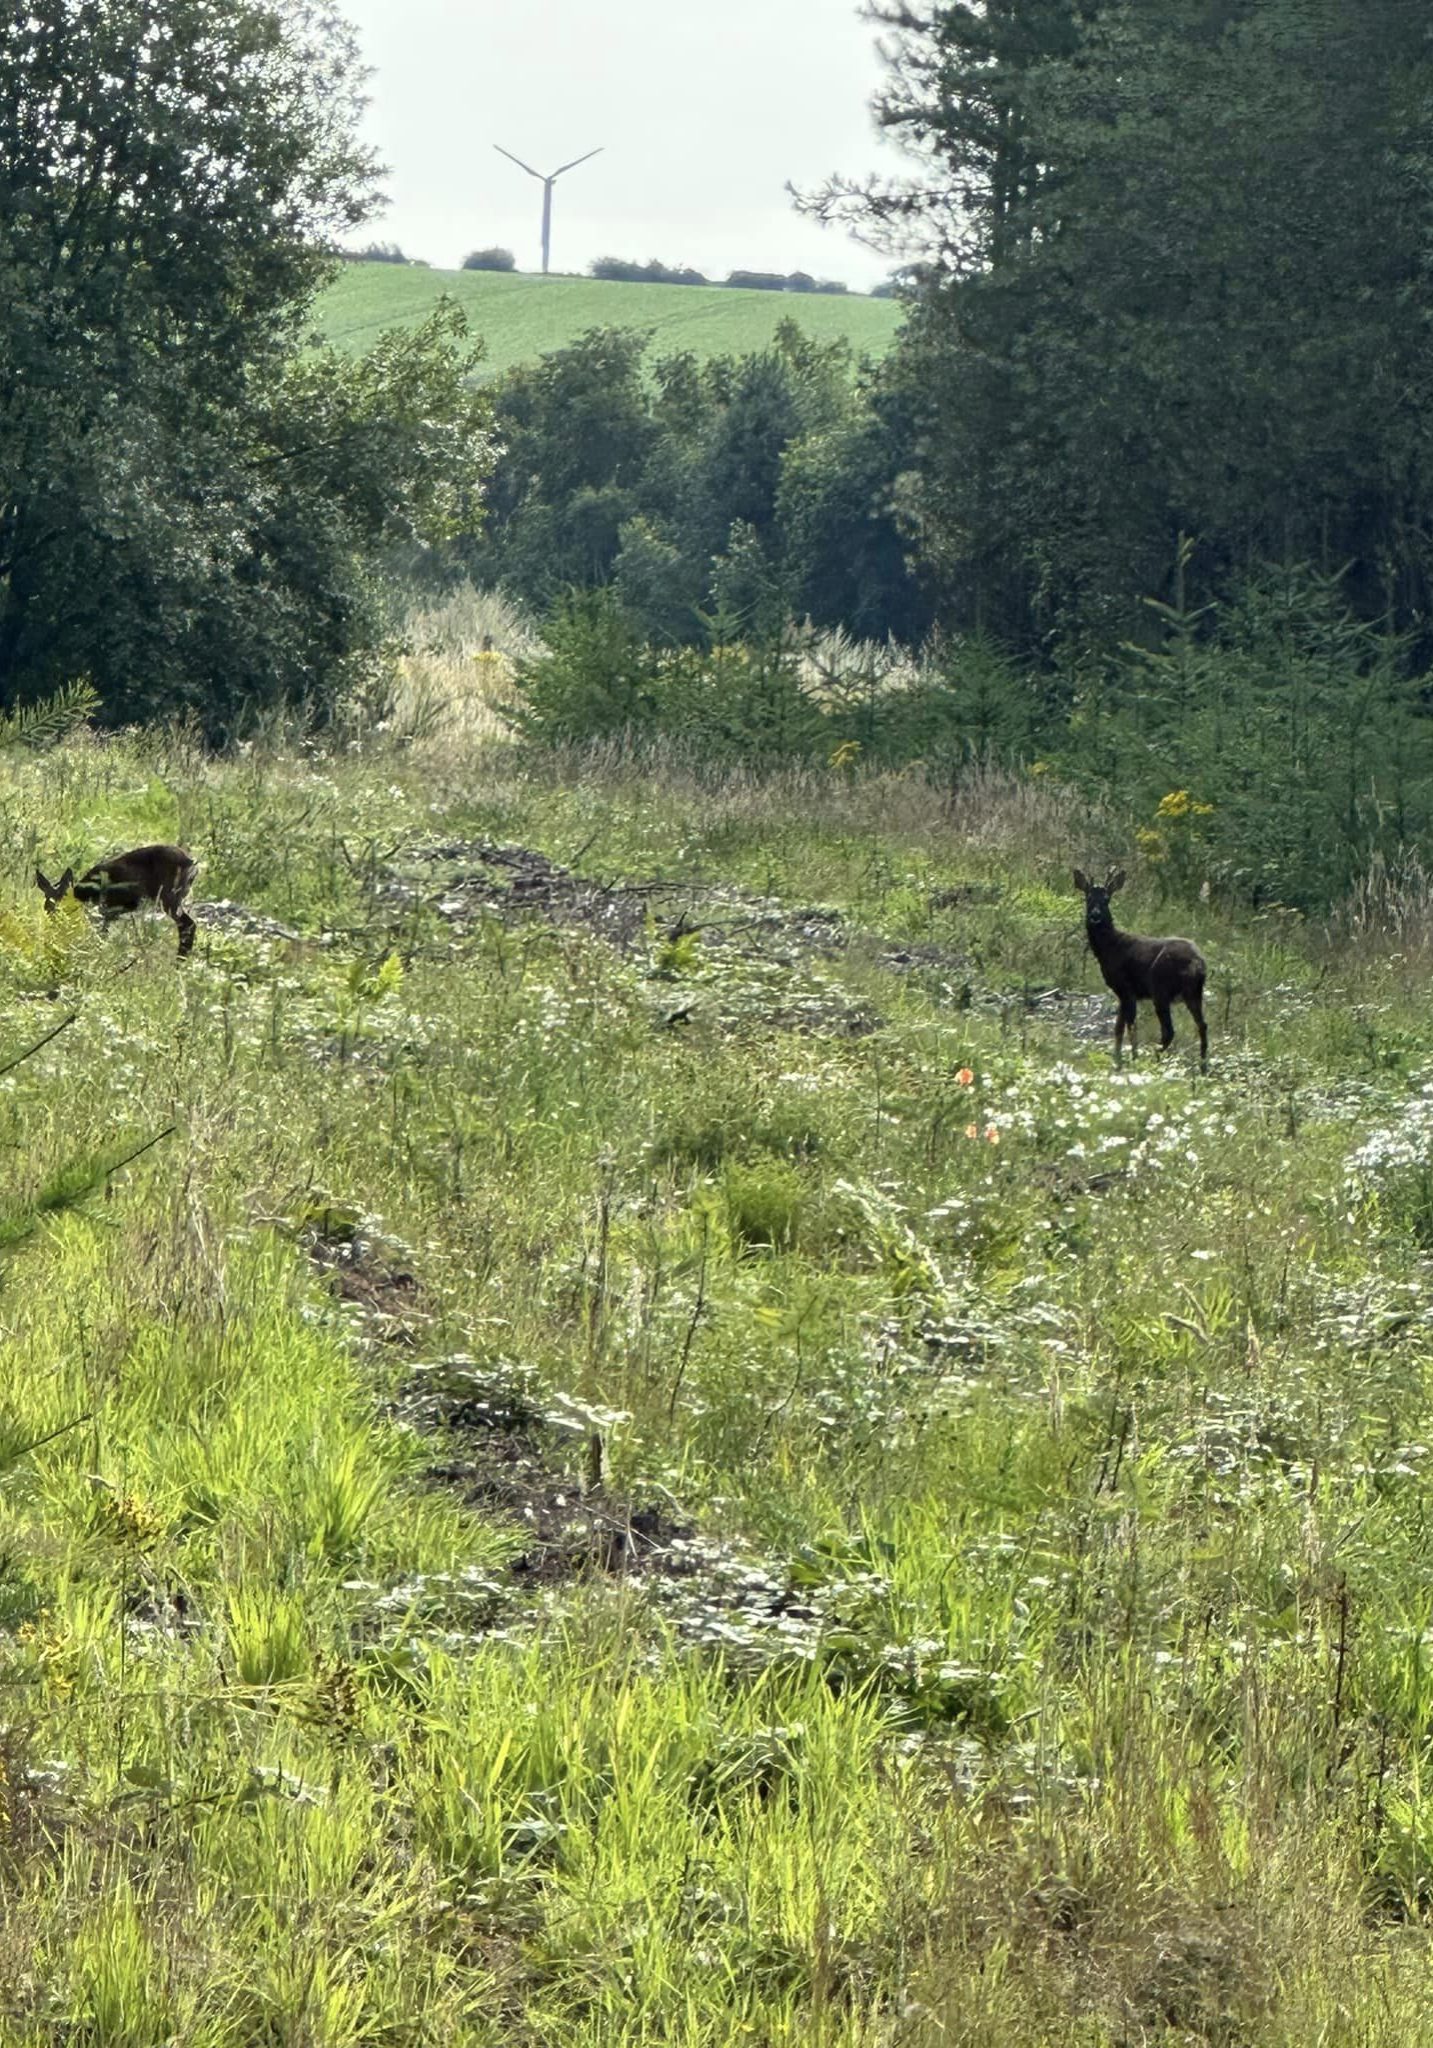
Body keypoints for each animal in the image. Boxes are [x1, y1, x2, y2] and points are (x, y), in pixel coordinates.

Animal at [36, 839, 197, 958]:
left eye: (56, 902)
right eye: (45, 904)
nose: (53, 921)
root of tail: (192, 864)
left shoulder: (106, 909)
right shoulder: (110, 914)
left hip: (169, 896)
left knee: (188, 925)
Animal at [1072, 864, 1211, 1073]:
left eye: (1106, 899)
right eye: (1088, 898)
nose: (1095, 916)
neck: (1110, 947)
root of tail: (1197, 963)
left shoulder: (1126, 988)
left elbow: (1130, 1026)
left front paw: (1132, 1058)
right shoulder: (1122, 994)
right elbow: (1118, 1028)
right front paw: (1117, 1059)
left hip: (1160, 988)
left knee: (1169, 1031)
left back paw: (1154, 1057)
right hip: (1193, 993)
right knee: (1202, 1025)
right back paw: (1203, 1066)